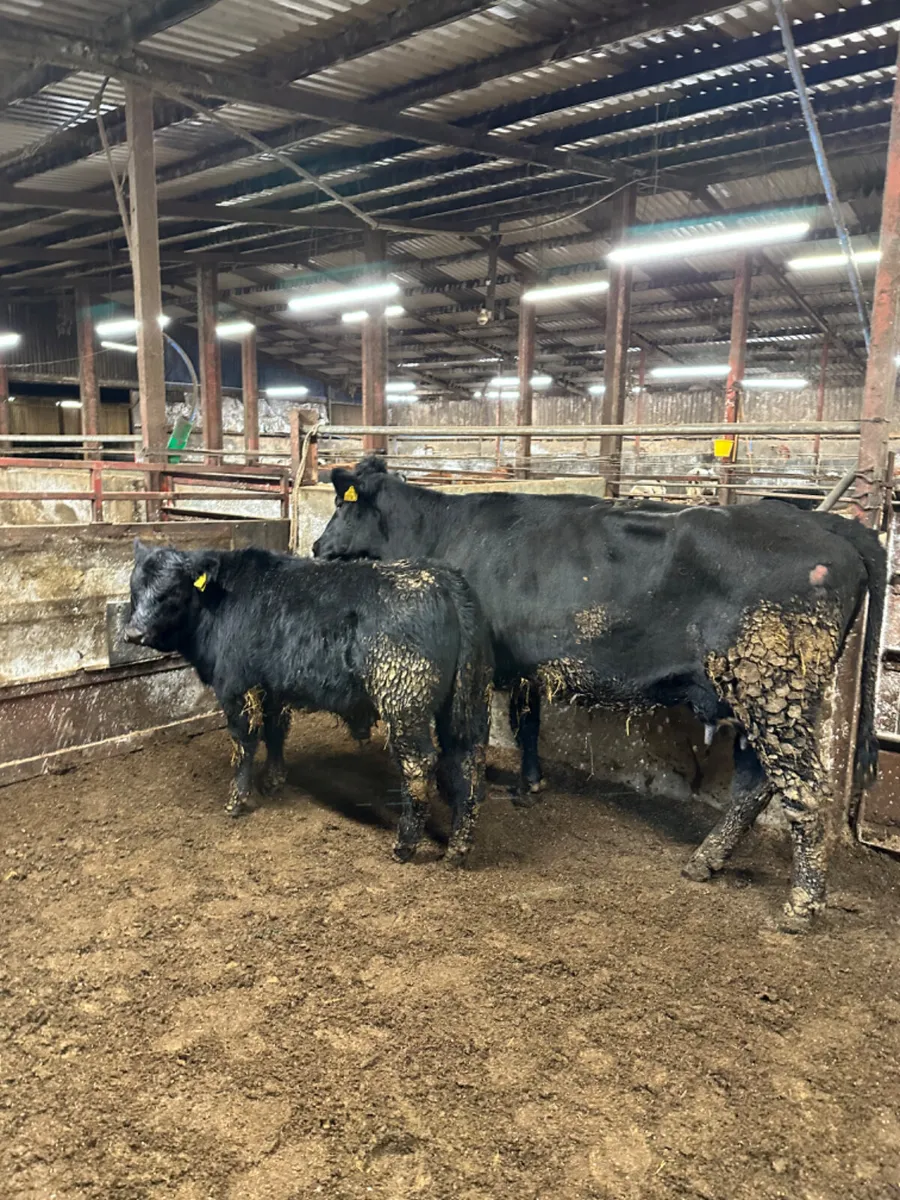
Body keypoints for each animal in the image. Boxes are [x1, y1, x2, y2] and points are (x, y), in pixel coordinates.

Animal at [123, 541, 493, 866]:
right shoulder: (273, 689)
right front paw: (273, 782)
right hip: (470, 699)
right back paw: (458, 849)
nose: (132, 633)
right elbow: (275, 733)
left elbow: (245, 744)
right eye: (134, 589)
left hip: (404, 701)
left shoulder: (236, 688)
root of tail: (442, 576)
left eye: (172, 591)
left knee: (420, 764)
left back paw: (405, 846)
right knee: (468, 759)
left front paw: (236, 801)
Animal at [312, 456, 886, 931]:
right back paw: (705, 861)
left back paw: (800, 907)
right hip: (756, 696)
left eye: (340, 508)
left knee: (804, 788)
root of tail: (823, 523)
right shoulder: (527, 664)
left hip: (771, 687)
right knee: (756, 783)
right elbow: (528, 722)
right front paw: (531, 783)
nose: (316, 548)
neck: (443, 529)